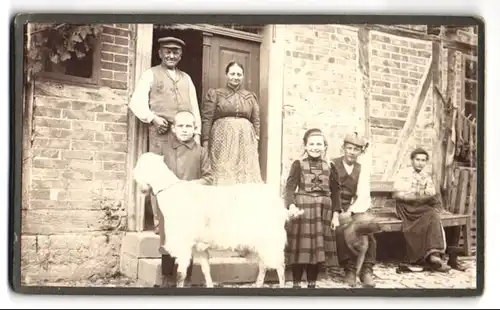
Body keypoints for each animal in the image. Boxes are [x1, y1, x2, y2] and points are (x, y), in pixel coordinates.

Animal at [133, 153, 302, 288]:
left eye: (140, 165)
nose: (134, 177)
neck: (171, 192)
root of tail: (280, 207)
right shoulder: (199, 246)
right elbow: (205, 270)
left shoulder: (184, 243)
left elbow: (181, 274)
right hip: (260, 241)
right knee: (264, 265)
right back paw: (258, 285)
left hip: (271, 240)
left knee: (279, 266)